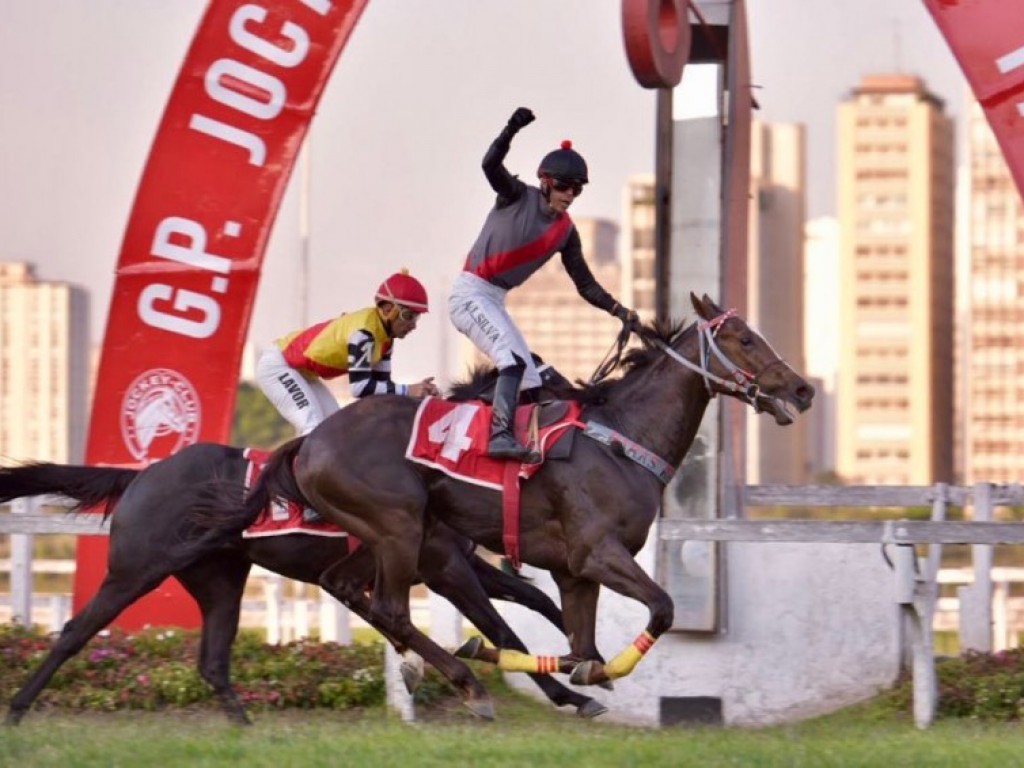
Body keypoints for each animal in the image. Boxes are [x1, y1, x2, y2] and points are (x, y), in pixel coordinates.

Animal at [0, 444, 606, 729]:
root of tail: (142, 475)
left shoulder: (460, 563)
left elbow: (534, 600)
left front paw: (589, 665)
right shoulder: (444, 567)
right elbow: (502, 630)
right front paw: (569, 691)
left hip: (220, 578)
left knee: (212, 660)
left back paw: (244, 727)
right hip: (136, 569)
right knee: (74, 631)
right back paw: (20, 707)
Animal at [193, 290, 815, 720]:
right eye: (744, 339)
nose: (803, 389)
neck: (618, 437)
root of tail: (309, 442)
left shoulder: (571, 570)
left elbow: (575, 640)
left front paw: (579, 678)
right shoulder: (594, 553)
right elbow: (656, 610)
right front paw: (516, 663)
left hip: (383, 537)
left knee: (346, 585)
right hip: (400, 529)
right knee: (392, 609)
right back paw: (466, 681)